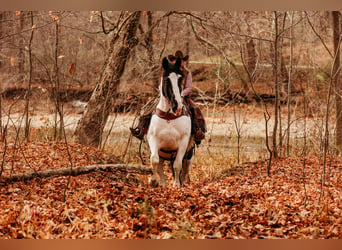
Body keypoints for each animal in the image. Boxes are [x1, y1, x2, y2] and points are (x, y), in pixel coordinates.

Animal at [147, 56, 195, 186]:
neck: (169, 117)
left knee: (185, 168)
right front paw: (153, 180)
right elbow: (154, 159)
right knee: (160, 166)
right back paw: (162, 183)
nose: (177, 107)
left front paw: (176, 184)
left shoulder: (183, 142)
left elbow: (178, 165)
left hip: (189, 153)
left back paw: (182, 182)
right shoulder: (153, 139)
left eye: (180, 79)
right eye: (166, 80)